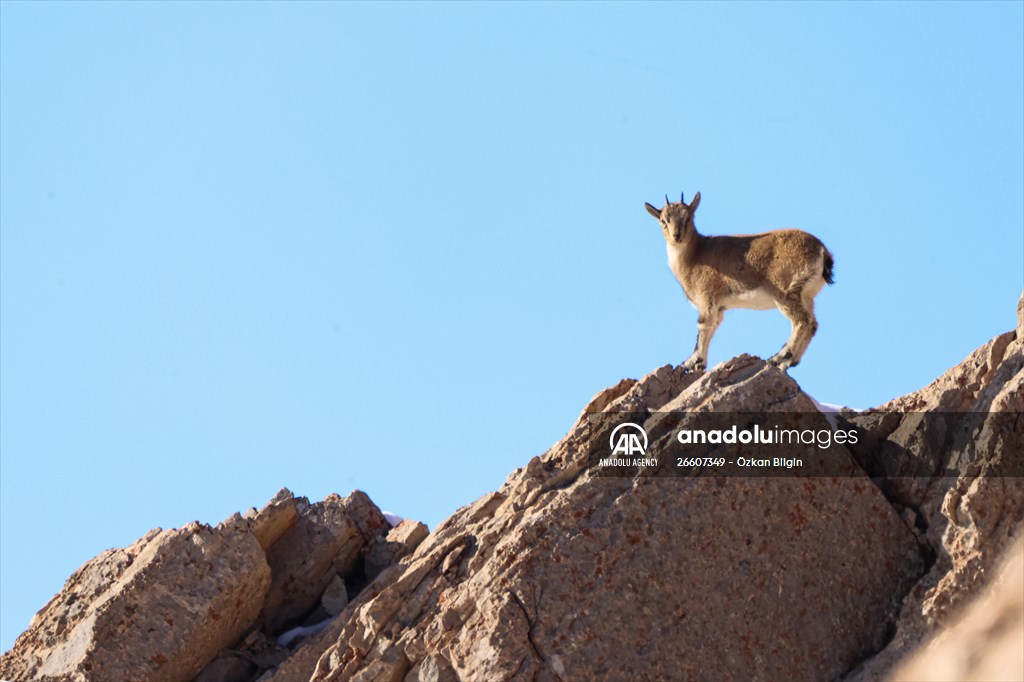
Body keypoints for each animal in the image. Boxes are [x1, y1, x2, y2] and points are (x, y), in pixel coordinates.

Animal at [644, 192, 834, 371]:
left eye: (689, 217)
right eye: (663, 220)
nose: (676, 236)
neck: (695, 255)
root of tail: (822, 251)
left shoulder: (708, 296)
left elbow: (703, 325)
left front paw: (691, 362)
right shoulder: (719, 307)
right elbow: (712, 327)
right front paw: (699, 363)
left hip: (785, 291)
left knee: (802, 321)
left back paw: (778, 357)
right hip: (806, 295)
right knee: (813, 324)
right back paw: (790, 362)